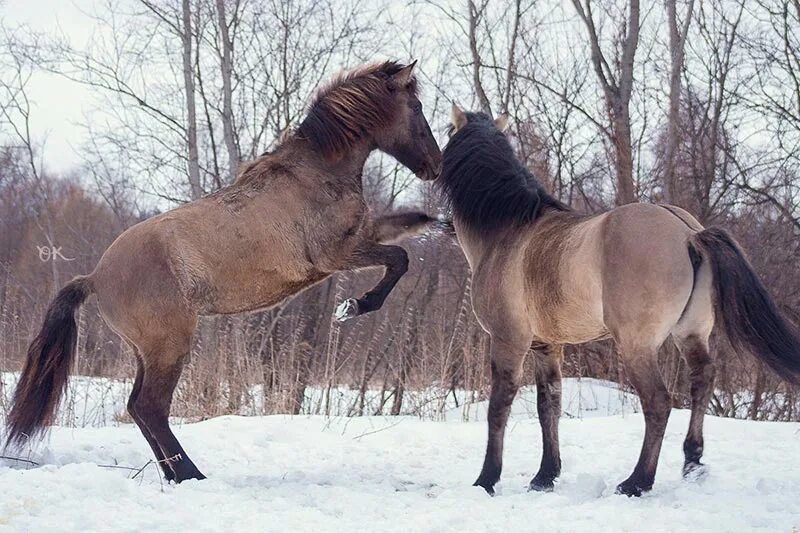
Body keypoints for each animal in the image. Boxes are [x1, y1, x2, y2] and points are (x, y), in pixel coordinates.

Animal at [4, 59, 444, 482]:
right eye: (417, 107)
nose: (435, 166)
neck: (316, 173)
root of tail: (95, 277)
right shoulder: (335, 255)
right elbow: (398, 259)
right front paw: (354, 306)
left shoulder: (362, 237)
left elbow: (406, 228)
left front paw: (438, 223)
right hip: (170, 346)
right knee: (150, 408)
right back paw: (190, 475)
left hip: (147, 352)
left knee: (137, 408)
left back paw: (172, 474)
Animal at [438, 106, 800, 496]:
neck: (509, 232)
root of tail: (688, 233)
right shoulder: (547, 346)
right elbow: (548, 405)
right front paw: (545, 476)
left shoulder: (509, 341)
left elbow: (498, 408)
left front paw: (487, 479)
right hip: (690, 334)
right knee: (702, 379)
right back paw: (692, 462)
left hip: (636, 345)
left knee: (658, 402)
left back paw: (637, 481)